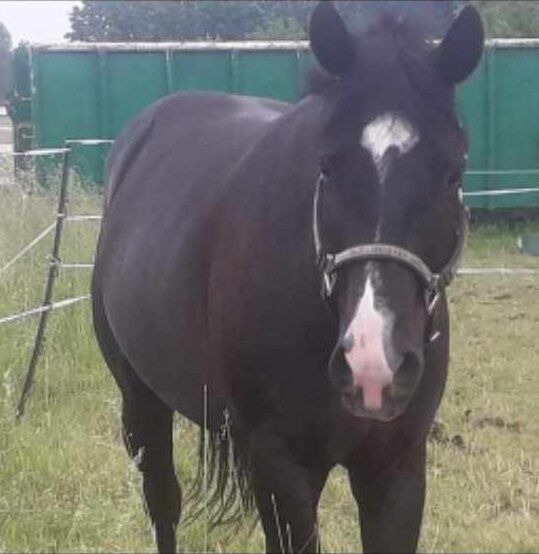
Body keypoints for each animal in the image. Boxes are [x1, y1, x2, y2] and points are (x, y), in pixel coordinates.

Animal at [92, 3, 486, 548]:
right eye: (327, 167)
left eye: (453, 173)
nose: (373, 365)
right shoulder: (282, 470)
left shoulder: (396, 469)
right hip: (141, 401)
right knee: (163, 504)